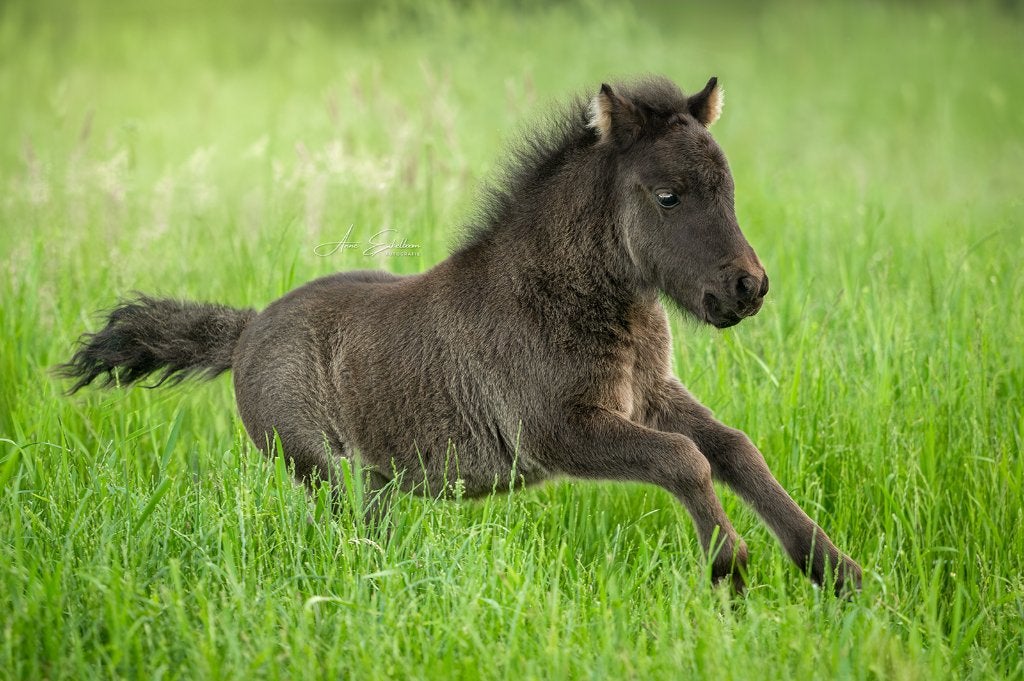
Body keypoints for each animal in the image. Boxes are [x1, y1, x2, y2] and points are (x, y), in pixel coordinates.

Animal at [59, 75, 862, 594]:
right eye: (668, 195)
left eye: (728, 187)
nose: (747, 288)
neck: (573, 298)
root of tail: (250, 330)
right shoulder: (558, 430)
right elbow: (683, 459)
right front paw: (729, 565)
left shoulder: (650, 394)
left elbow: (732, 447)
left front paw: (835, 570)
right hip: (322, 473)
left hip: (375, 483)